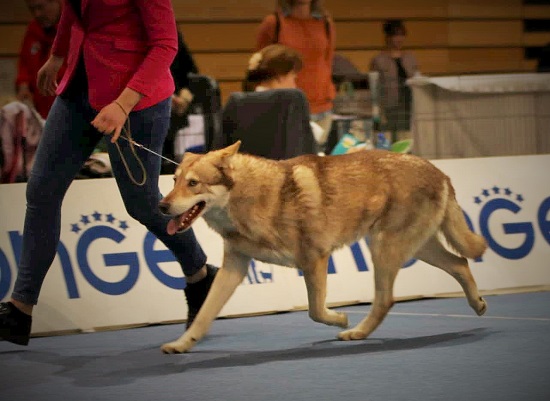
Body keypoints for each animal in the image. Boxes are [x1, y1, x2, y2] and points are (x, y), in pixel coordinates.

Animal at [158, 141, 488, 354]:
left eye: (193, 183)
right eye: (173, 180)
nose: (161, 206)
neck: (251, 197)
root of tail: (439, 171)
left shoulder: (315, 258)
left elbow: (315, 311)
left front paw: (339, 318)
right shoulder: (234, 267)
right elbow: (204, 315)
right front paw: (181, 344)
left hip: (386, 250)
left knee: (386, 299)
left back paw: (355, 332)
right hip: (414, 249)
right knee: (460, 263)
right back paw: (478, 305)